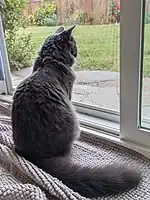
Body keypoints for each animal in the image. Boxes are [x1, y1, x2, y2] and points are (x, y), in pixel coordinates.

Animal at [12, 26, 141, 198]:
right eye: (74, 45)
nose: (77, 53)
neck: (49, 60)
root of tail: (32, 155)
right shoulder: (69, 94)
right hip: (73, 122)